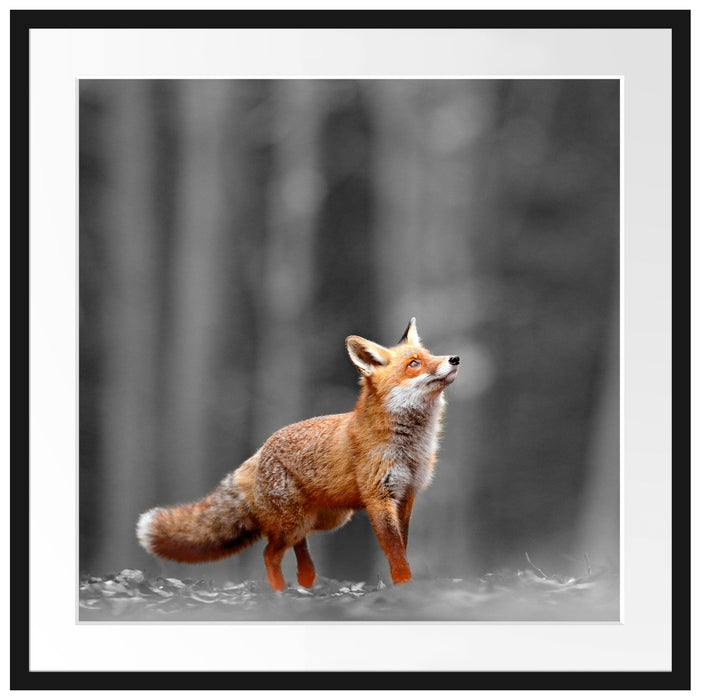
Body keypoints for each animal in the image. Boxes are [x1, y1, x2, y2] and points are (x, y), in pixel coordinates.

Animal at [136, 318, 460, 591]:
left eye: (430, 355)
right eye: (414, 363)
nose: (454, 358)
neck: (410, 447)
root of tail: (260, 450)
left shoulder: (406, 495)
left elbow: (401, 546)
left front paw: (403, 583)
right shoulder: (379, 497)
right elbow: (394, 550)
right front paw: (404, 584)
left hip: (324, 519)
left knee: (298, 547)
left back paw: (306, 581)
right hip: (295, 522)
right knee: (269, 553)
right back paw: (280, 592)